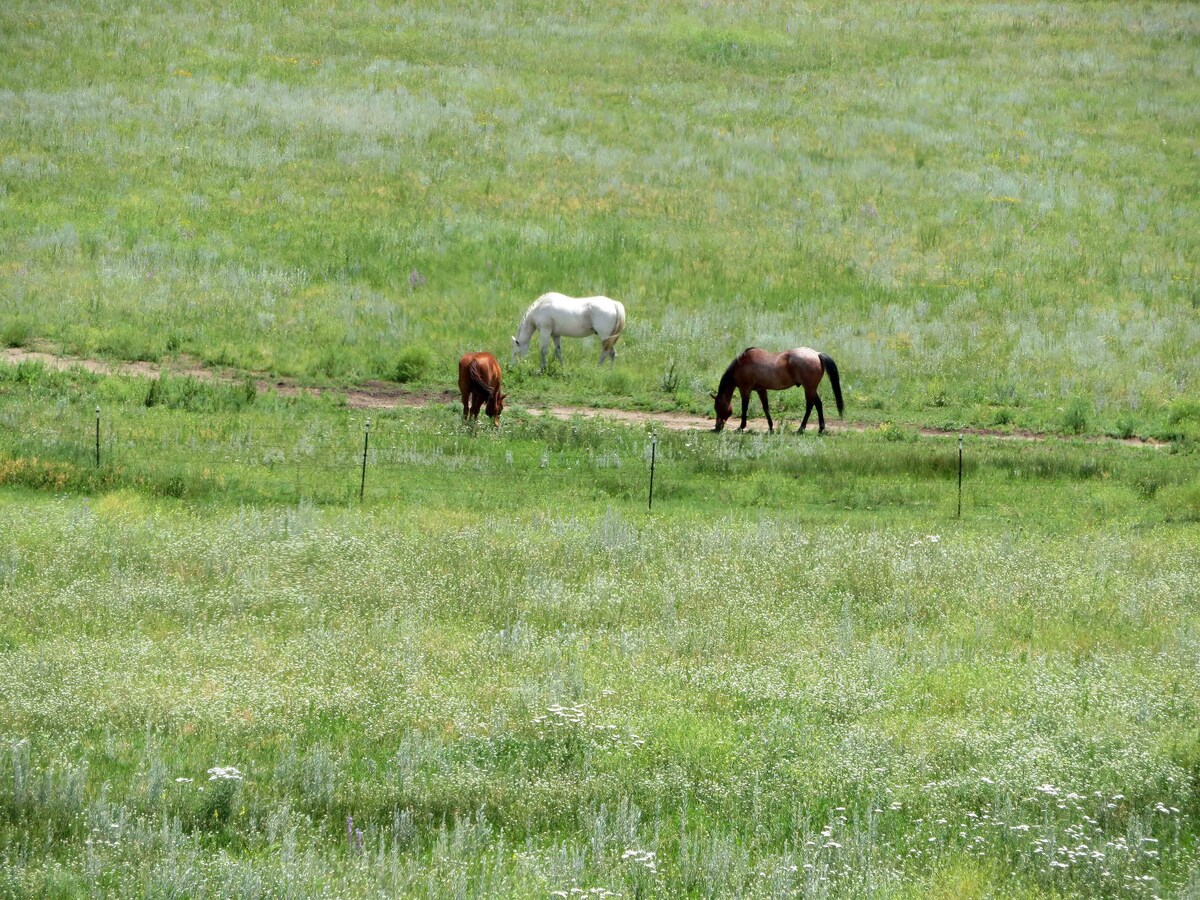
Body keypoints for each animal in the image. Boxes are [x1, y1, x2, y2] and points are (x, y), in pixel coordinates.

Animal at [710, 348, 844, 436]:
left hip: (809, 388)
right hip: (810, 389)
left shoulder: (745, 390)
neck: (741, 364)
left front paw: (741, 427)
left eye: (717, 407)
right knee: (814, 405)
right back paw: (809, 428)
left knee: (815, 405)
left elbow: (744, 408)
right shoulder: (761, 390)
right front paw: (770, 428)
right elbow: (766, 408)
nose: (716, 427)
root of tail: (817, 354)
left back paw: (811, 429)